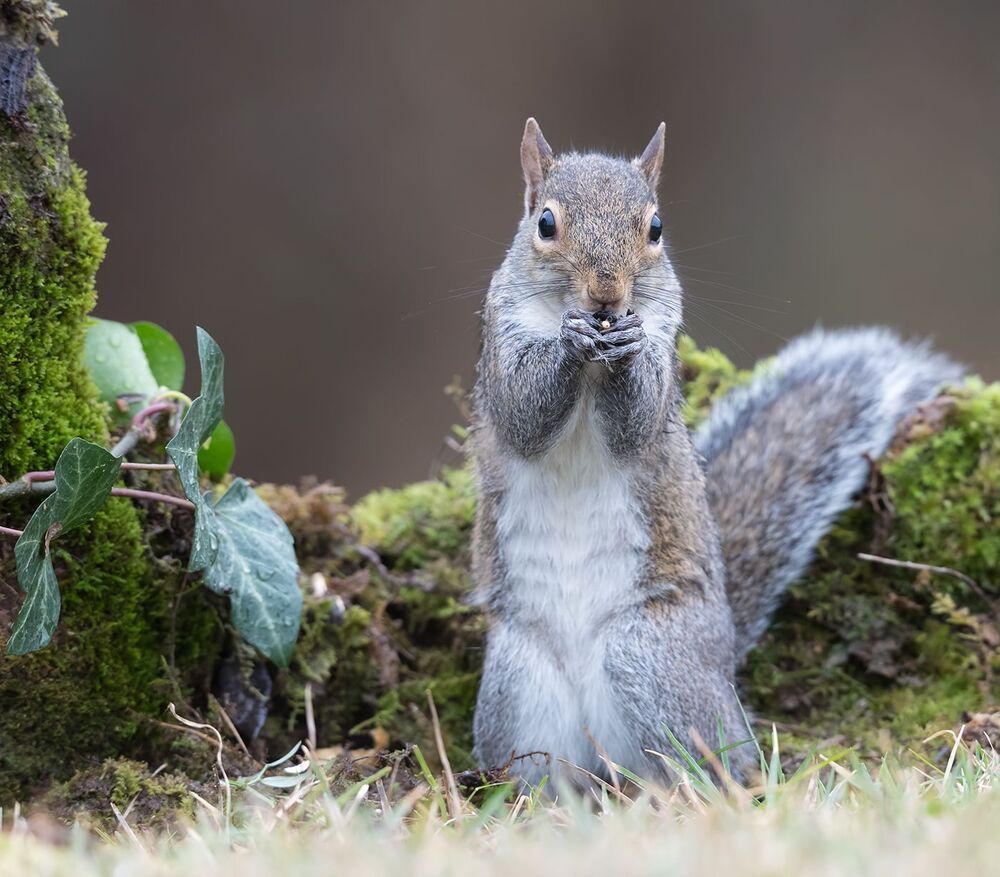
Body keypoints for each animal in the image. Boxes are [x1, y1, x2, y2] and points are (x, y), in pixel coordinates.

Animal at [470, 118, 962, 786]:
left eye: (655, 228)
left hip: (651, 656)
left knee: (716, 763)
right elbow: (523, 412)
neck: (594, 363)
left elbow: (638, 422)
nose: (606, 297)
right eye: (545, 223)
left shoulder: (661, 343)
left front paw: (621, 347)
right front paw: (570, 341)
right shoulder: (501, 343)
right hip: (517, 683)